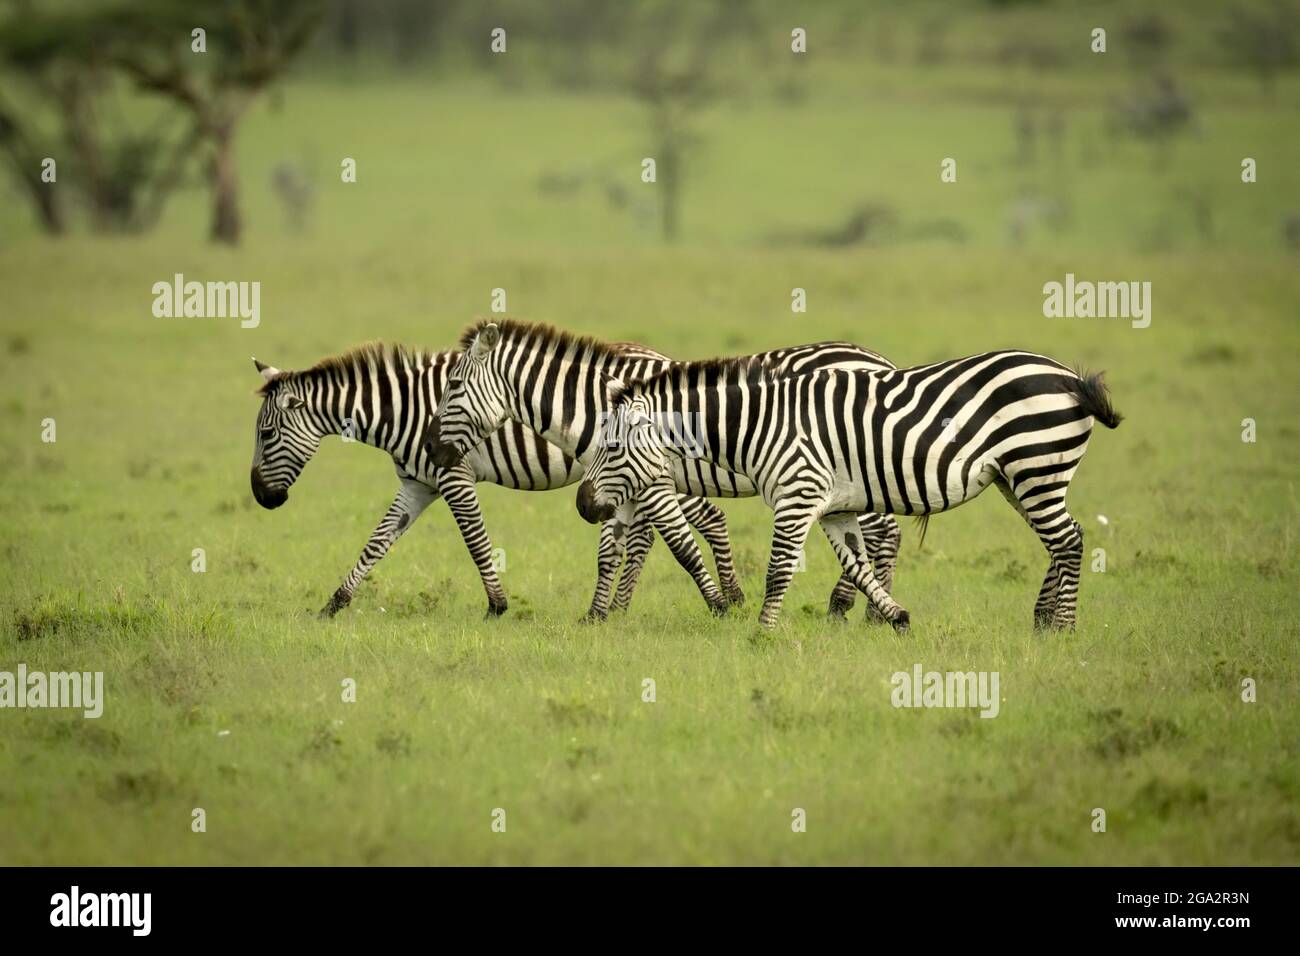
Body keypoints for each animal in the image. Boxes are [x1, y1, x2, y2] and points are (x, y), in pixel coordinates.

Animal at [248, 343, 748, 621]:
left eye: (266, 434)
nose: (261, 497)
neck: (403, 411)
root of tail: (664, 359)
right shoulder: (417, 485)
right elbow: (376, 543)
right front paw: (333, 605)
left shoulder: (452, 476)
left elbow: (475, 540)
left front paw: (497, 606)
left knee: (706, 518)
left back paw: (731, 598)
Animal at [423, 317, 904, 624]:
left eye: (453, 386)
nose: (429, 447)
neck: (597, 406)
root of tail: (879, 359)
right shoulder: (618, 484)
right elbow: (614, 550)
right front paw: (600, 615)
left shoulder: (648, 480)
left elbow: (678, 547)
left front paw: (720, 607)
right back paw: (870, 609)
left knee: (884, 531)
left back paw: (852, 607)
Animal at [574, 348, 1123, 629]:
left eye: (612, 447)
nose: (582, 506)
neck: (761, 425)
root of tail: (1069, 375)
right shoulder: (834, 507)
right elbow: (858, 565)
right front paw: (894, 616)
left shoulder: (797, 496)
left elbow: (779, 569)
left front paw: (763, 633)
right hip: (1019, 477)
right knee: (1063, 540)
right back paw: (1043, 619)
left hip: (1036, 468)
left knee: (1069, 541)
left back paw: (1064, 627)